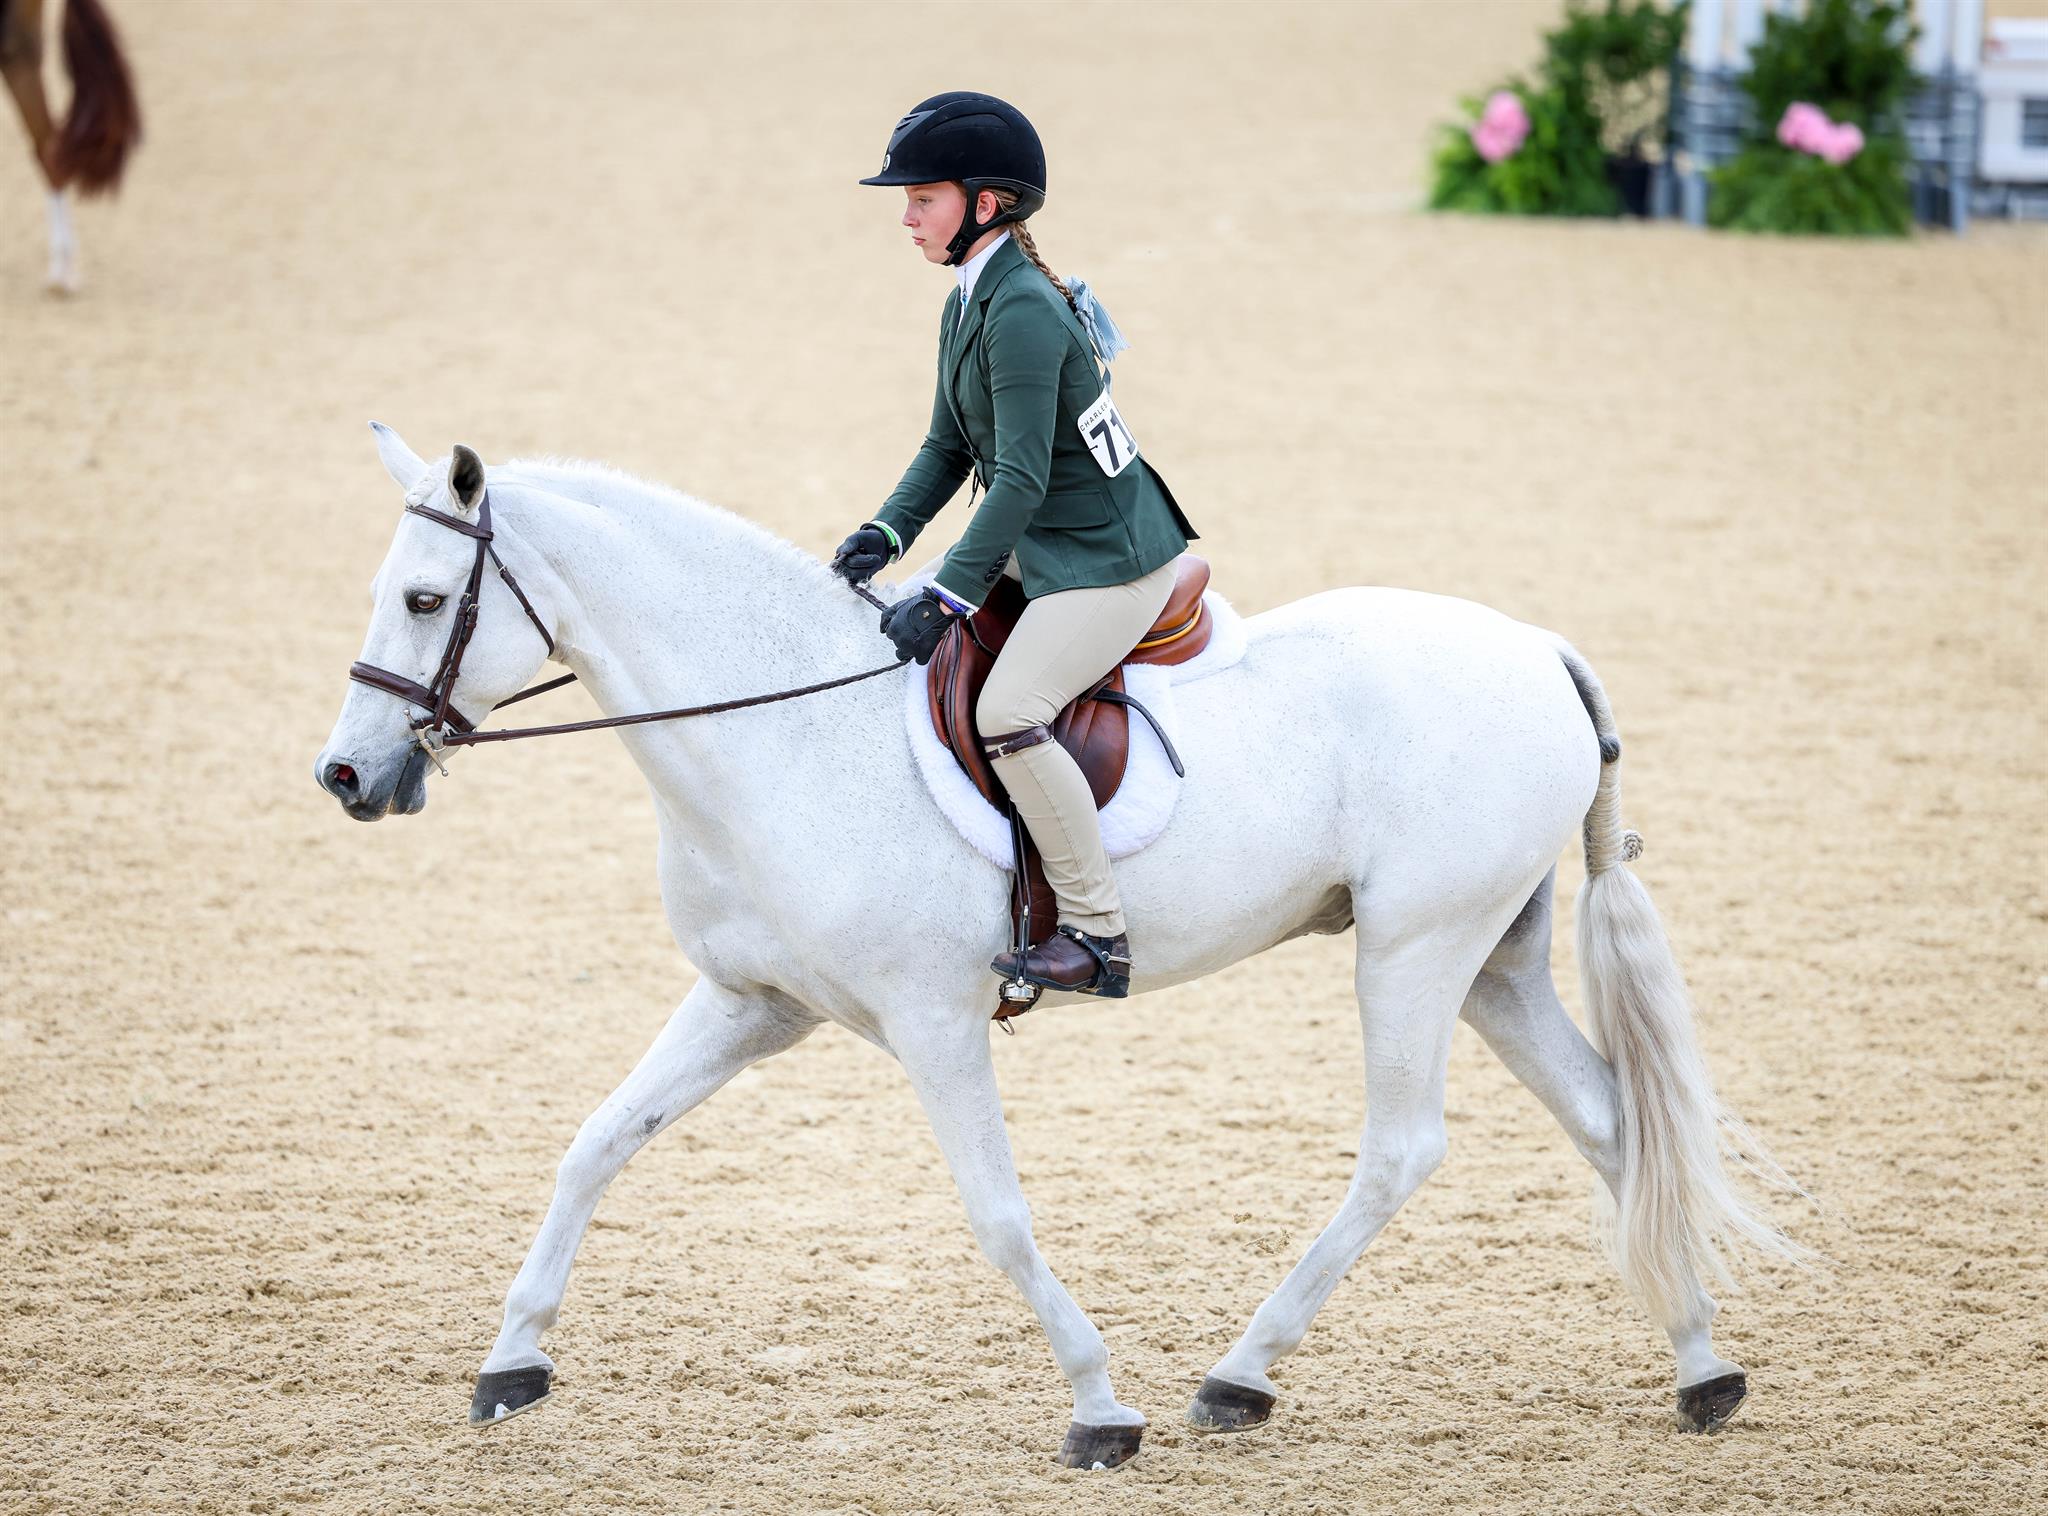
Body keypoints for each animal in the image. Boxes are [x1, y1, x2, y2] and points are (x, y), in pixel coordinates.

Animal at [314, 424, 1799, 1468]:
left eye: (427, 598)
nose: (346, 777)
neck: (781, 726)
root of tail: (1536, 648)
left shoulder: (930, 1019)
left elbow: (998, 1216)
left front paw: (1098, 1406)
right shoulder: (749, 1001)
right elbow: (595, 1142)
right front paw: (512, 1364)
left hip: (1413, 949)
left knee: (1402, 1149)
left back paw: (1236, 1377)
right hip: (1491, 957)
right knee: (1610, 1121)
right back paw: (1700, 1369)